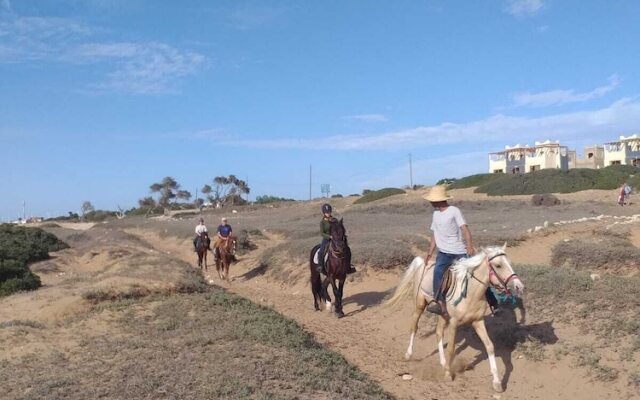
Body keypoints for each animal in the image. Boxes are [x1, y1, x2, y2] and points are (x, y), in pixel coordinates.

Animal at [384, 245, 524, 392]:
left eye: (509, 263)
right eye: (498, 265)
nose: (519, 286)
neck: (471, 293)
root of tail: (424, 263)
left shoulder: (478, 321)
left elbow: (490, 346)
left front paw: (497, 382)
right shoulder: (454, 323)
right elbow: (451, 348)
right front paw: (447, 374)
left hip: (443, 314)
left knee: (438, 332)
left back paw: (443, 362)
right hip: (419, 305)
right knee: (414, 327)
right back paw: (409, 354)